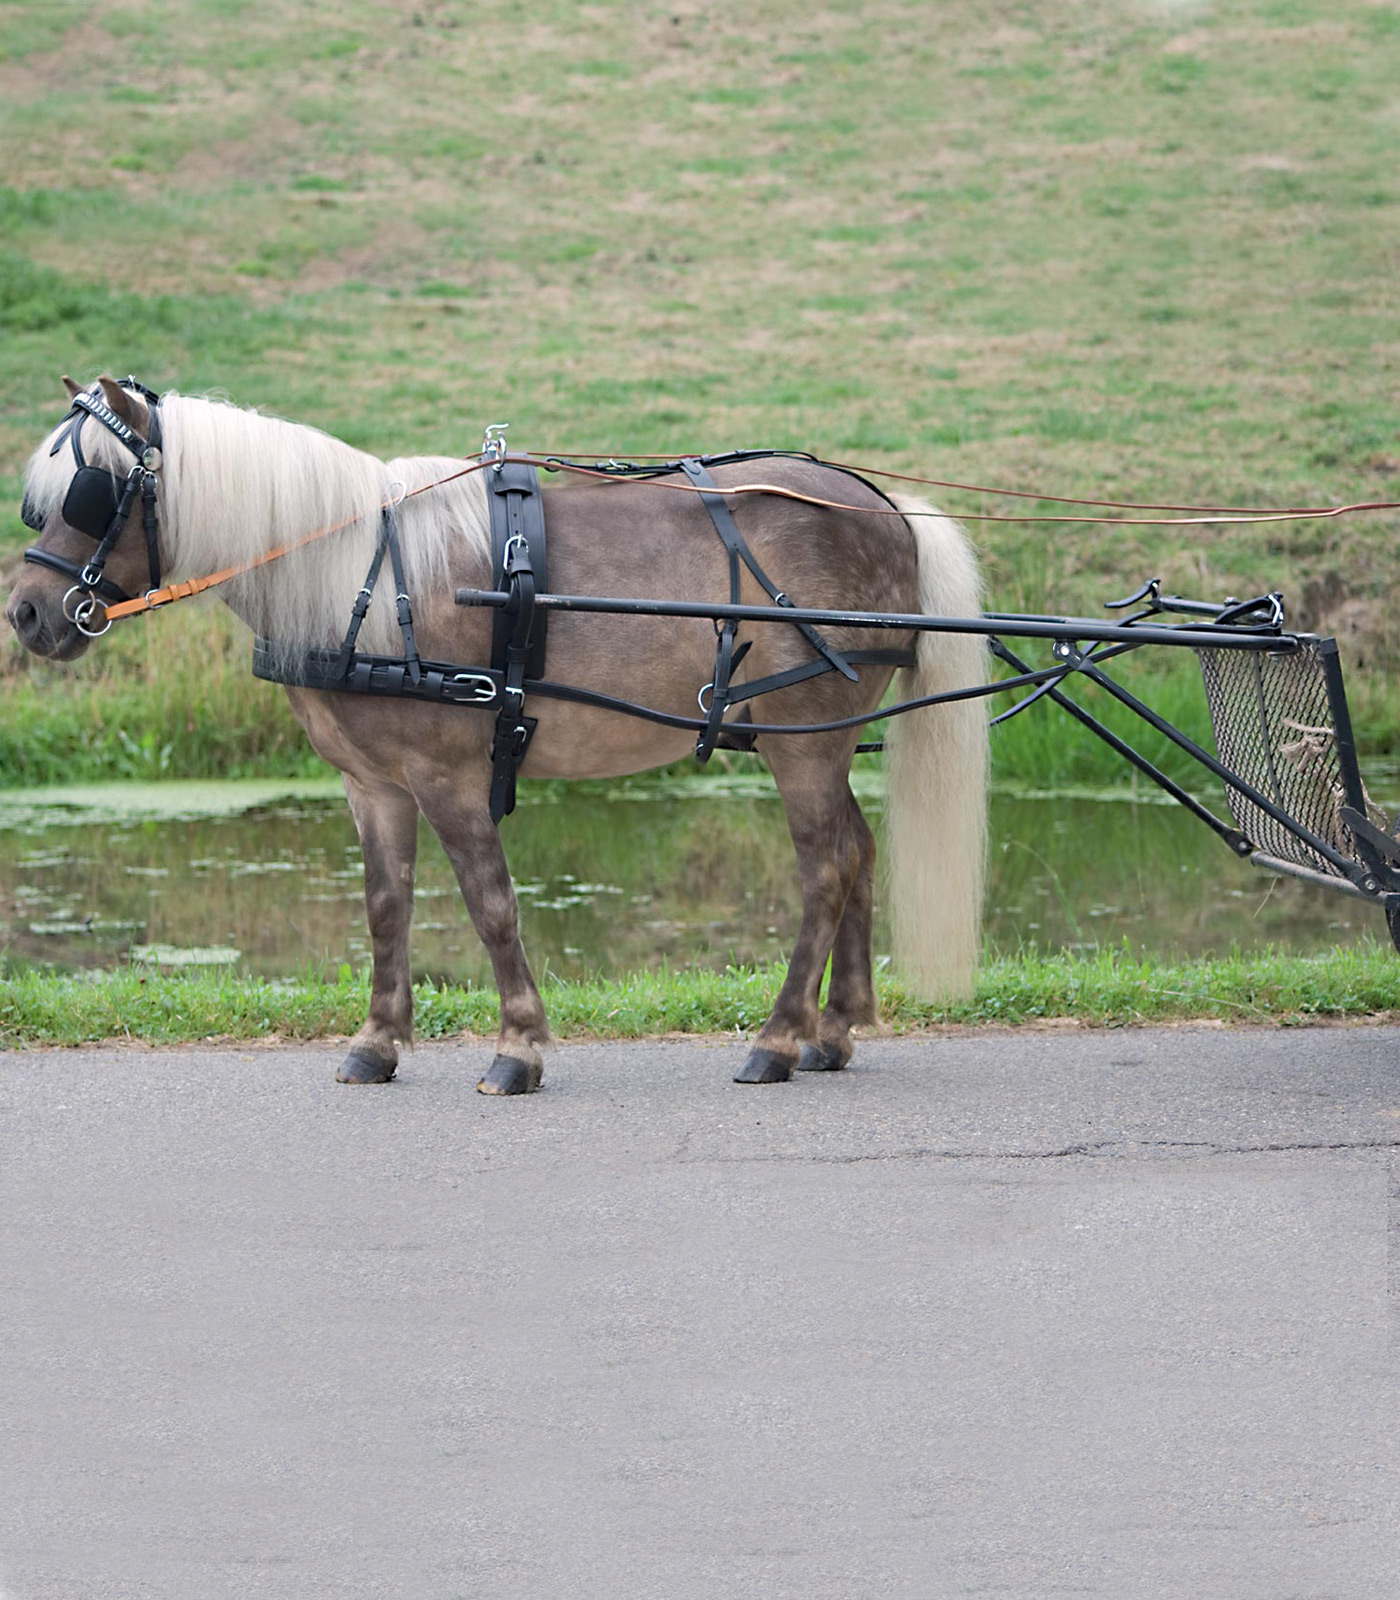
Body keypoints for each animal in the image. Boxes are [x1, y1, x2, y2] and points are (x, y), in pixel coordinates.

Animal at [8, 380, 985, 1094]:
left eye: (92, 494)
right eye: (40, 503)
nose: (25, 614)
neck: (366, 578)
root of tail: (883, 504)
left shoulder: (447, 775)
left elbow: (491, 902)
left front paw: (518, 1046)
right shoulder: (373, 785)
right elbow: (386, 906)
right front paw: (377, 1042)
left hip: (800, 739)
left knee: (825, 869)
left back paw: (778, 1039)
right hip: (818, 736)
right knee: (857, 853)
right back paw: (834, 1029)